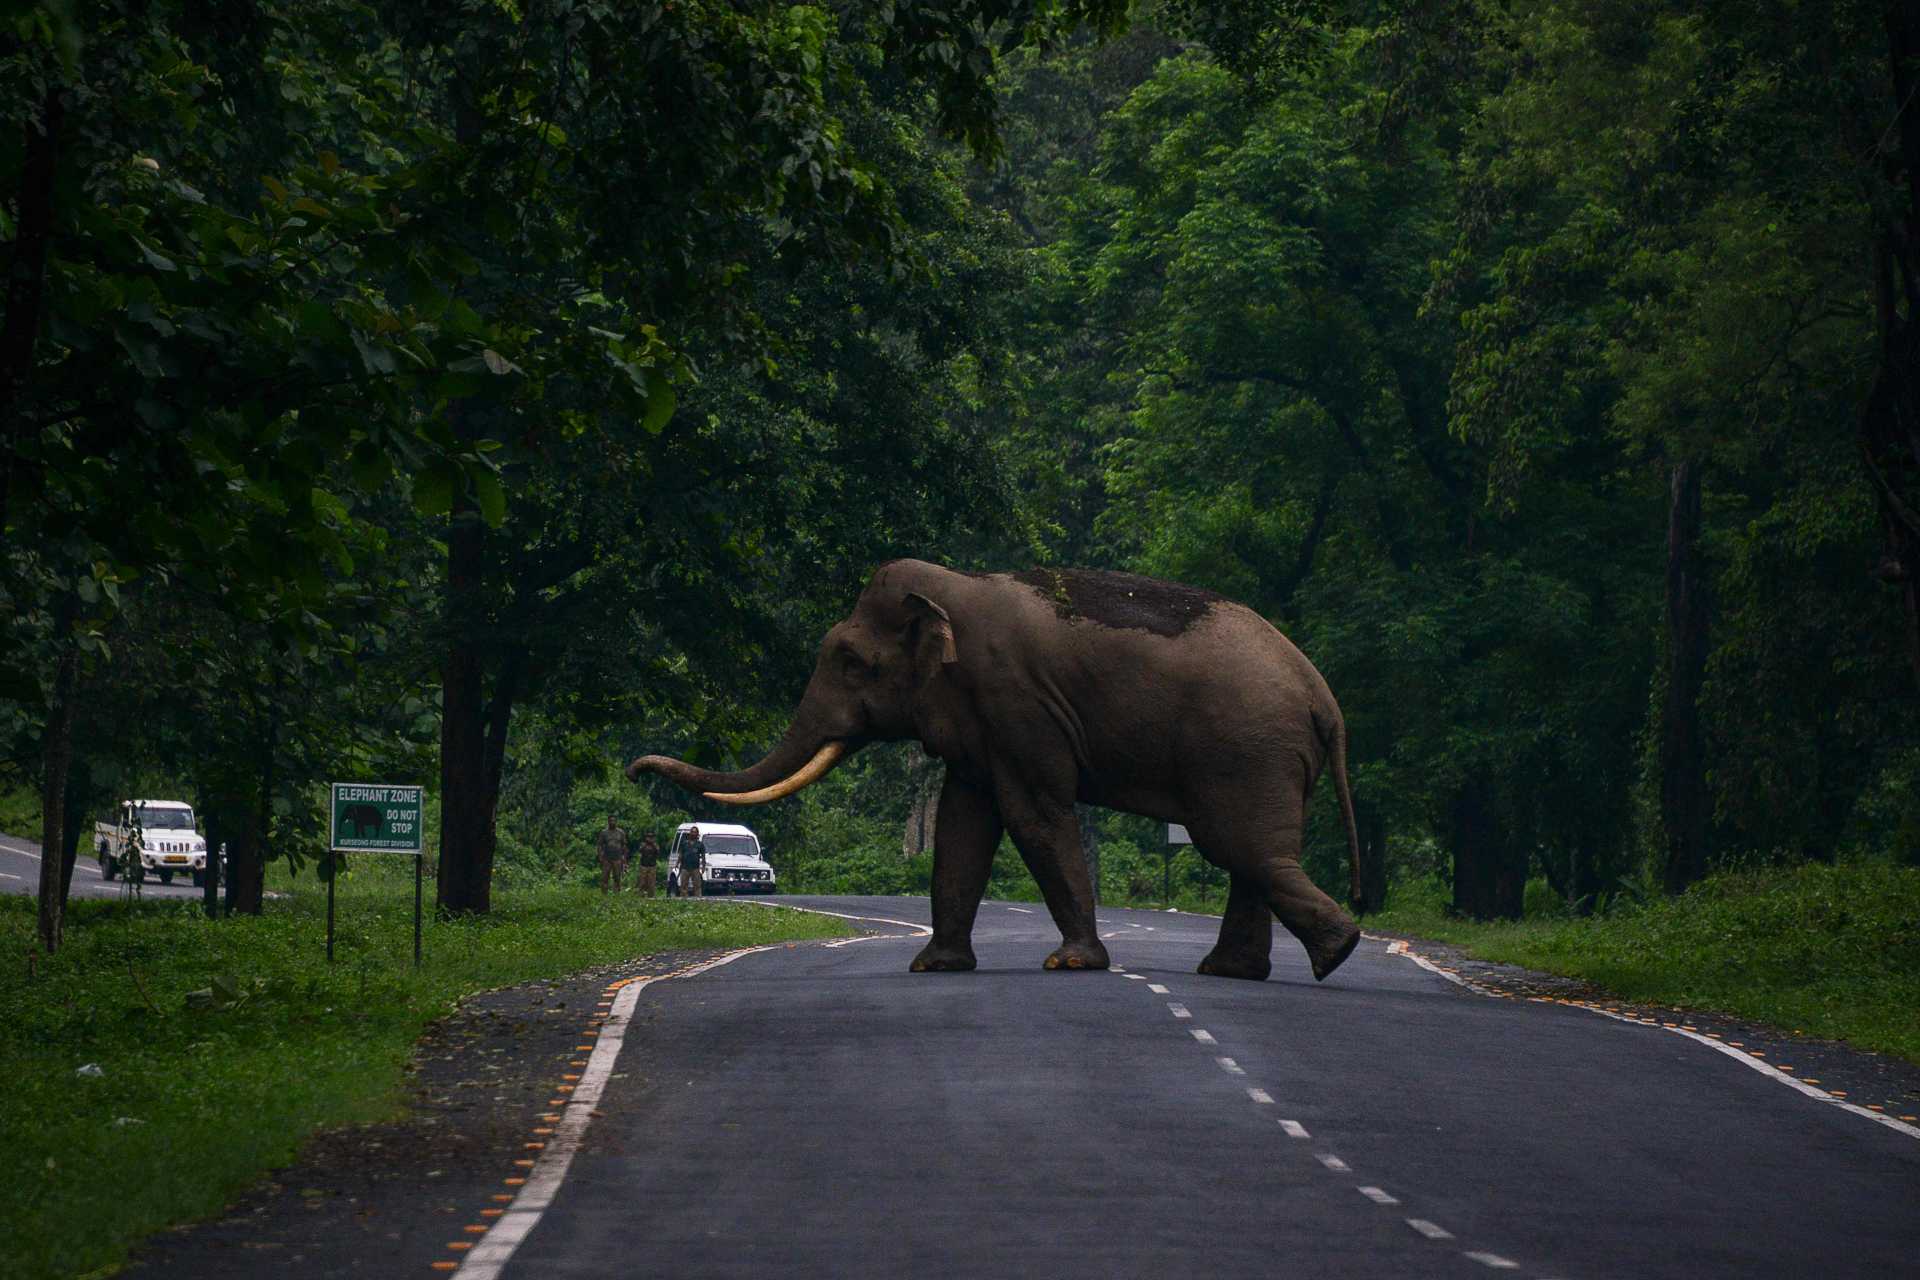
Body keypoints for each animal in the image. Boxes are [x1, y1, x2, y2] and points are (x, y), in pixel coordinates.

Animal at [629, 556, 1367, 982]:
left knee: (1240, 847)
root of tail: (1324, 696)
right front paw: (933, 967)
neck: (957, 586)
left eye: (853, 663)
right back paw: (1235, 972)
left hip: (1245, 749)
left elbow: (1032, 814)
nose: (636, 771)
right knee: (1249, 854)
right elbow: (964, 822)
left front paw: (1072, 963)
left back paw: (1336, 953)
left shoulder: (1017, 701)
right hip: (1262, 754)